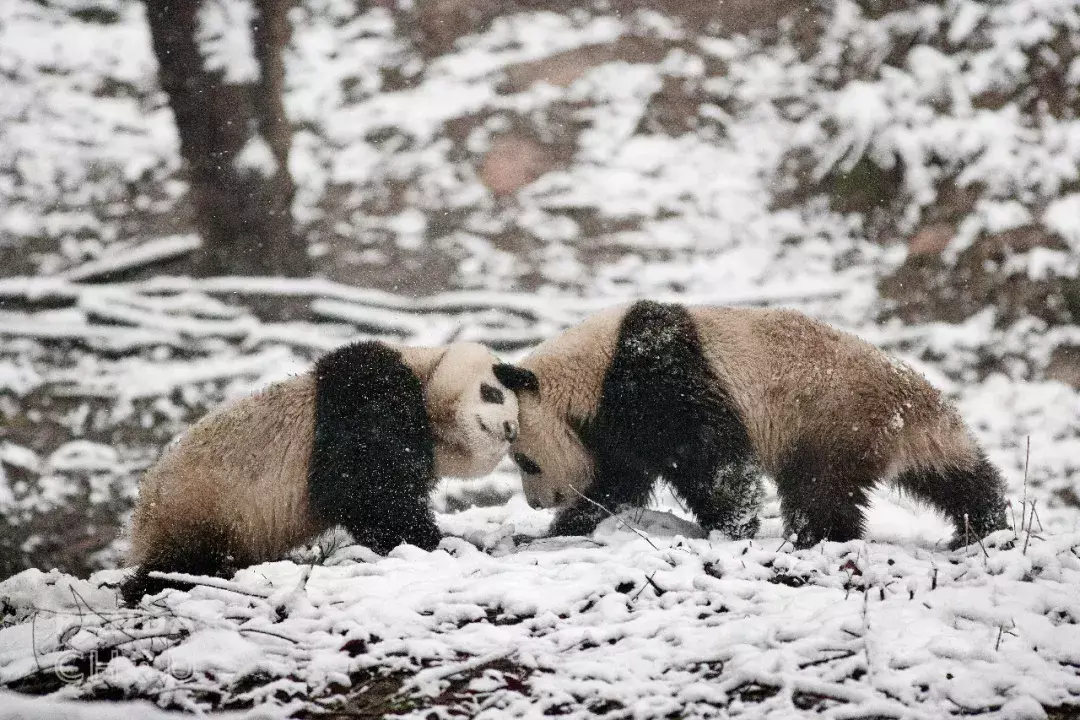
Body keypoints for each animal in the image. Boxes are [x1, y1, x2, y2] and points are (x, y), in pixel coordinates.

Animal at [121, 341, 527, 604]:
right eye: (492, 392)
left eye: (519, 418)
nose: (509, 428)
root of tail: (142, 515)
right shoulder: (369, 396)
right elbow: (363, 489)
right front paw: (432, 542)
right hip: (201, 506)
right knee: (182, 562)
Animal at [501, 302, 1006, 548]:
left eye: (525, 460)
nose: (536, 502)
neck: (591, 371)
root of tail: (912, 400)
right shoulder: (618, 424)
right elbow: (618, 481)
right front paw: (558, 529)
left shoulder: (656, 374)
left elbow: (711, 458)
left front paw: (730, 528)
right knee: (952, 474)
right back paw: (982, 526)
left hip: (832, 418)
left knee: (820, 489)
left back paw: (813, 538)